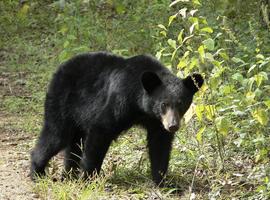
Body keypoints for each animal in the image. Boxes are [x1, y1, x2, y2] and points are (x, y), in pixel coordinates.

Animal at [30, 51, 202, 184]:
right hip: (62, 103)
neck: (141, 107)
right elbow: (100, 131)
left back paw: (68, 175)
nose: (173, 125)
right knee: (55, 135)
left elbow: (160, 145)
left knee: (73, 144)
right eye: (164, 104)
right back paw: (37, 172)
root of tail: (60, 68)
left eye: (181, 104)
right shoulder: (119, 100)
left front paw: (162, 182)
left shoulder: (156, 121)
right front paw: (88, 178)